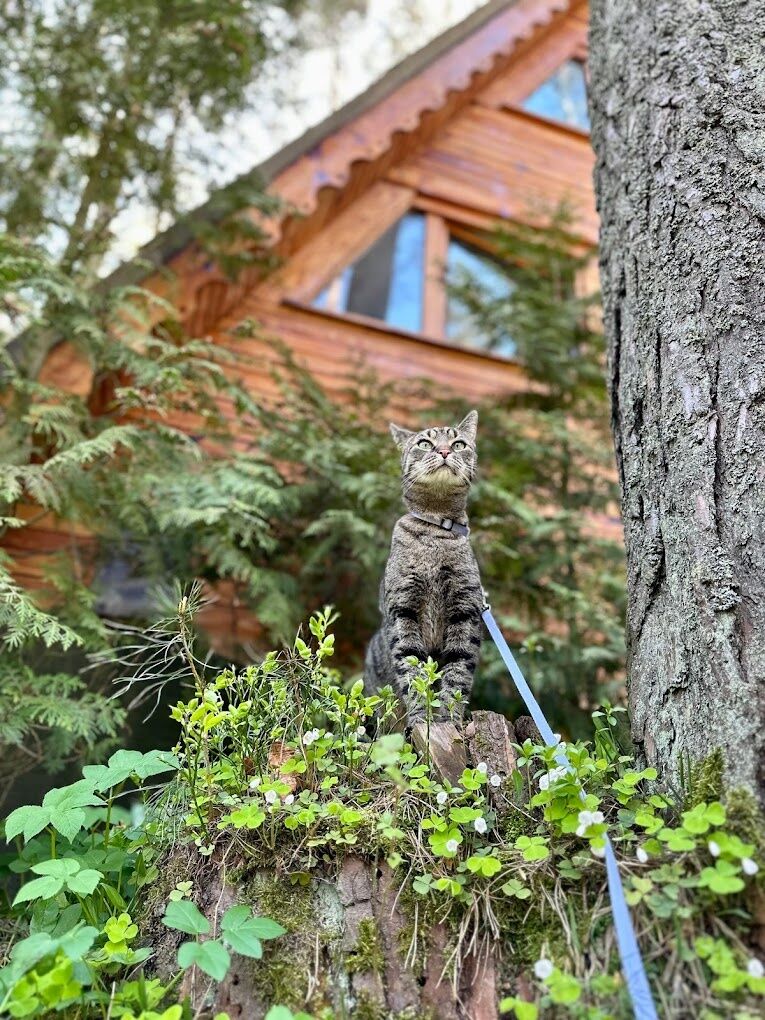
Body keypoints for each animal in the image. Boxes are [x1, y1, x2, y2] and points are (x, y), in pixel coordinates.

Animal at [364, 411, 484, 725]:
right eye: (425, 443)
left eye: (458, 444)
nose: (443, 451)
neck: (436, 528)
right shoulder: (402, 608)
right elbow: (412, 666)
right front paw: (421, 715)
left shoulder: (465, 611)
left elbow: (458, 669)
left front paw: (449, 717)